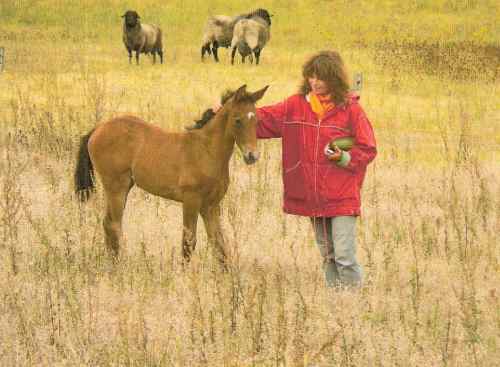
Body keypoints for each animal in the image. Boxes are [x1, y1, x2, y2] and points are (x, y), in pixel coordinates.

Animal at [73, 85, 268, 268]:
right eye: (237, 120)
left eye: (257, 120)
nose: (252, 156)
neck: (206, 151)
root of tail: (98, 129)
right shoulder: (191, 200)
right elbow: (189, 242)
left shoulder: (211, 205)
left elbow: (218, 244)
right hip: (116, 187)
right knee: (113, 224)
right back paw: (117, 266)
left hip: (124, 186)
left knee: (109, 224)